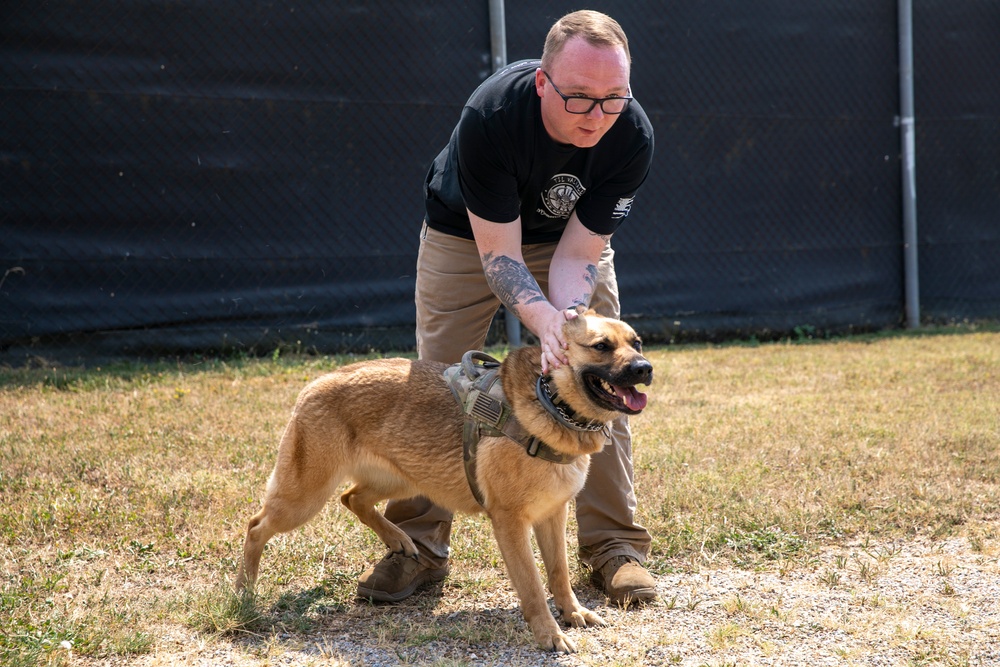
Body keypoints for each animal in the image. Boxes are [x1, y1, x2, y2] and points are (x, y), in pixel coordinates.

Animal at [237, 310, 652, 652]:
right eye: (601, 346)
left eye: (636, 343)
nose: (645, 369)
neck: (551, 401)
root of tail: (319, 381)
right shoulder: (510, 523)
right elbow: (533, 585)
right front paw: (549, 633)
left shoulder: (553, 515)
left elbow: (559, 573)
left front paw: (573, 612)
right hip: (306, 497)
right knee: (256, 526)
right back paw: (244, 591)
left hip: (408, 478)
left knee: (353, 499)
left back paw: (399, 540)